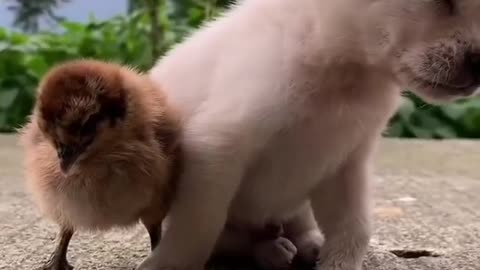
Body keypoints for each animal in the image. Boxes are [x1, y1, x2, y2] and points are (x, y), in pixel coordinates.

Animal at [138, 0, 480, 270]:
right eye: (445, 1)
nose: (479, 66)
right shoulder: (216, 148)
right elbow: (199, 227)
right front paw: (167, 265)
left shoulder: (347, 162)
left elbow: (355, 228)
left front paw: (337, 263)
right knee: (232, 238)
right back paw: (272, 249)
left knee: (292, 224)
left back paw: (300, 245)